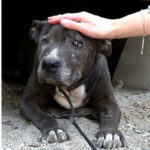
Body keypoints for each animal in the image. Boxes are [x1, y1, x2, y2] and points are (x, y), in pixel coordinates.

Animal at [19, 19, 125, 149]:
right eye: (44, 41)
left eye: (76, 43)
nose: (49, 63)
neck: (71, 86)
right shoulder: (27, 100)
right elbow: (42, 117)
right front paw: (54, 129)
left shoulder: (108, 101)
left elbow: (110, 115)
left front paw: (110, 134)